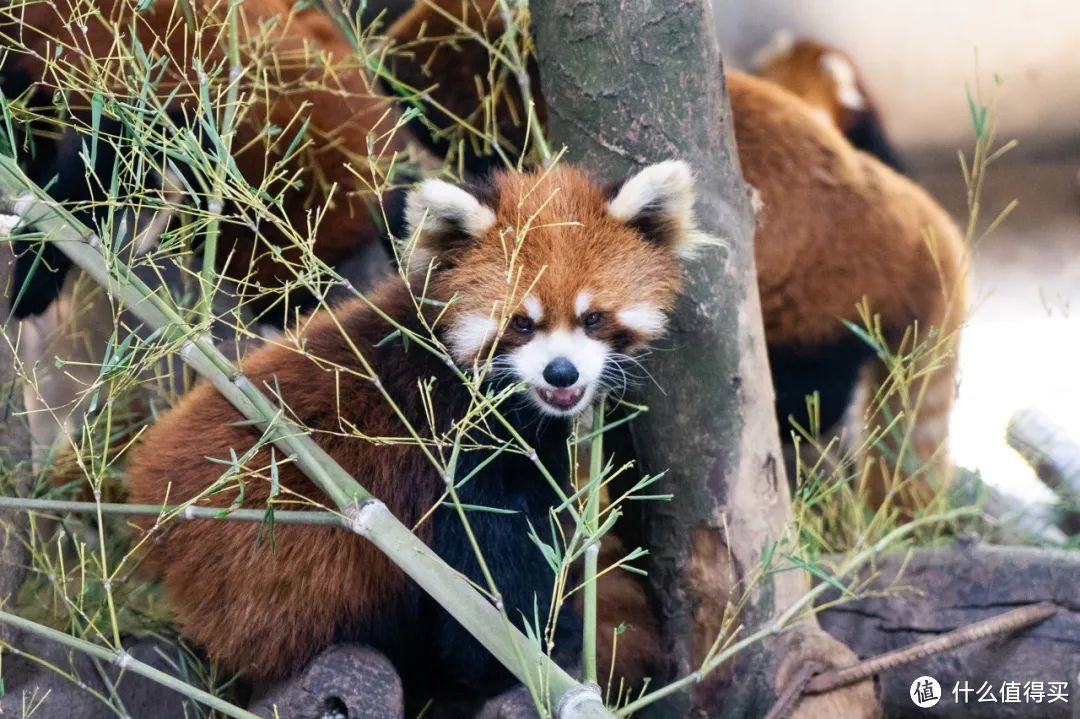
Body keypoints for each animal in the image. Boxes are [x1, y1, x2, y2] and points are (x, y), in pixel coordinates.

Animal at [124, 159, 699, 703]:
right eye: (521, 323)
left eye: (593, 317)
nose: (562, 373)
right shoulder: (462, 454)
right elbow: (485, 602)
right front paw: (541, 651)